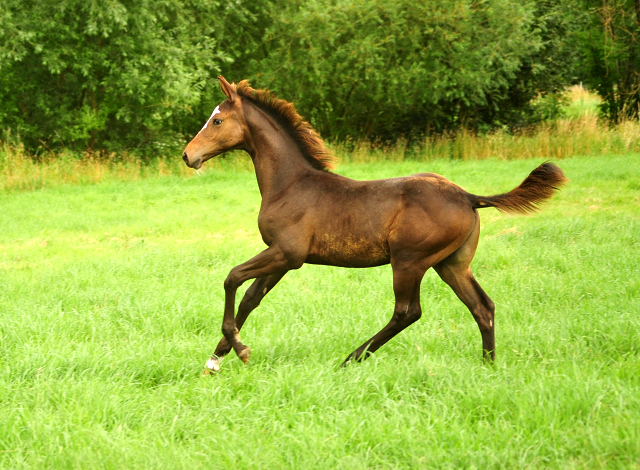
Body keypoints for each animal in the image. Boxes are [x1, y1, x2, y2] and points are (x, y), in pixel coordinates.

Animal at [180, 76, 564, 370]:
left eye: (216, 121)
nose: (187, 155)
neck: (289, 184)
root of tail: (469, 197)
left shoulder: (288, 253)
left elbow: (232, 278)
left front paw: (238, 350)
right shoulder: (282, 257)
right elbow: (250, 298)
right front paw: (216, 359)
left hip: (409, 261)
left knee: (408, 311)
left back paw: (351, 358)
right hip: (452, 263)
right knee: (482, 307)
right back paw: (488, 365)